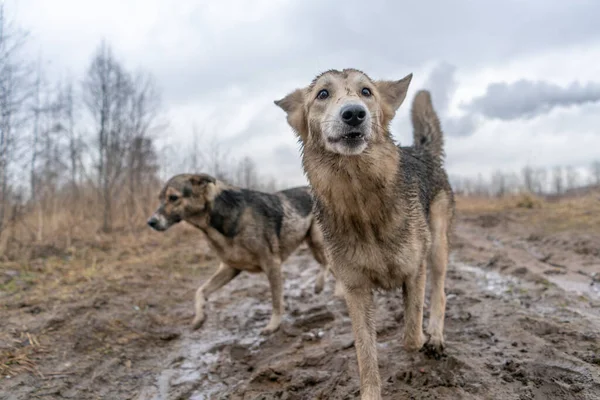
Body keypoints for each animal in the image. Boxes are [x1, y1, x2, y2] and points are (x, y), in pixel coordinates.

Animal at [146, 174, 332, 334]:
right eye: (160, 198)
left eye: (173, 197)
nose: (151, 222)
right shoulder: (230, 267)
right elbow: (200, 291)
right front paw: (199, 317)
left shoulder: (272, 263)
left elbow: (276, 301)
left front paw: (273, 325)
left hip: (316, 241)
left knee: (328, 263)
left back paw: (322, 286)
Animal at [276, 70, 454, 398]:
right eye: (323, 94)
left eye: (366, 91)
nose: (354, 113)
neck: (361, 201)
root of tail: (420, 150)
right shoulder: (355, 289)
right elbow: (365, 354)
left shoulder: (415, 271)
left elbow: (411, 334)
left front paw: (422, 339)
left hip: (437, 249)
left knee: (440, 294)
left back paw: (435, 336)